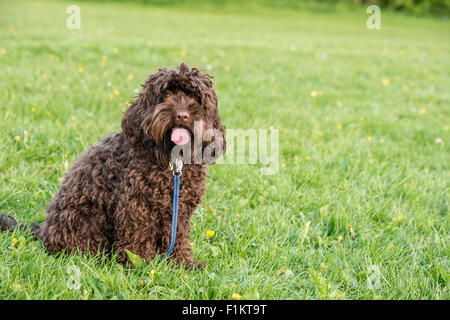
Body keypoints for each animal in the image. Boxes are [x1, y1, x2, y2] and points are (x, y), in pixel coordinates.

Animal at [0, 63, 225, 268]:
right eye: (165, 95)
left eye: (195, 98)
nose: (181, 115)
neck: (172, 160)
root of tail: (45, 232)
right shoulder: (135, 206)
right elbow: (137, 239)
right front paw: (140, 265)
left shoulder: (179, 211)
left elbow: (177, 237)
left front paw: (183, 263)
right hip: (84, 218)